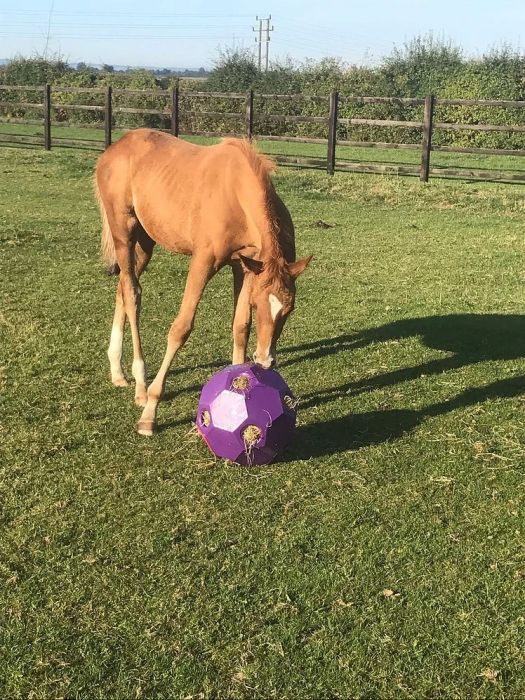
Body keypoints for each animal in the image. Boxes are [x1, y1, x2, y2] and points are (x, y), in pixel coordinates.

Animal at [94, 126, 310, 432]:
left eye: (290, 309)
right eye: (258, 306)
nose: (266, 360)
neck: (236, 195)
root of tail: (116, 148)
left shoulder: (245, 267)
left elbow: (240, 326)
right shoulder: (203, 263)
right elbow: (181, 328)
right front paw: (150, 413)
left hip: (145, 241)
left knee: (123, 287)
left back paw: (118, 372)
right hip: (123, 232)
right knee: (133, 294)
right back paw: (140, 385)